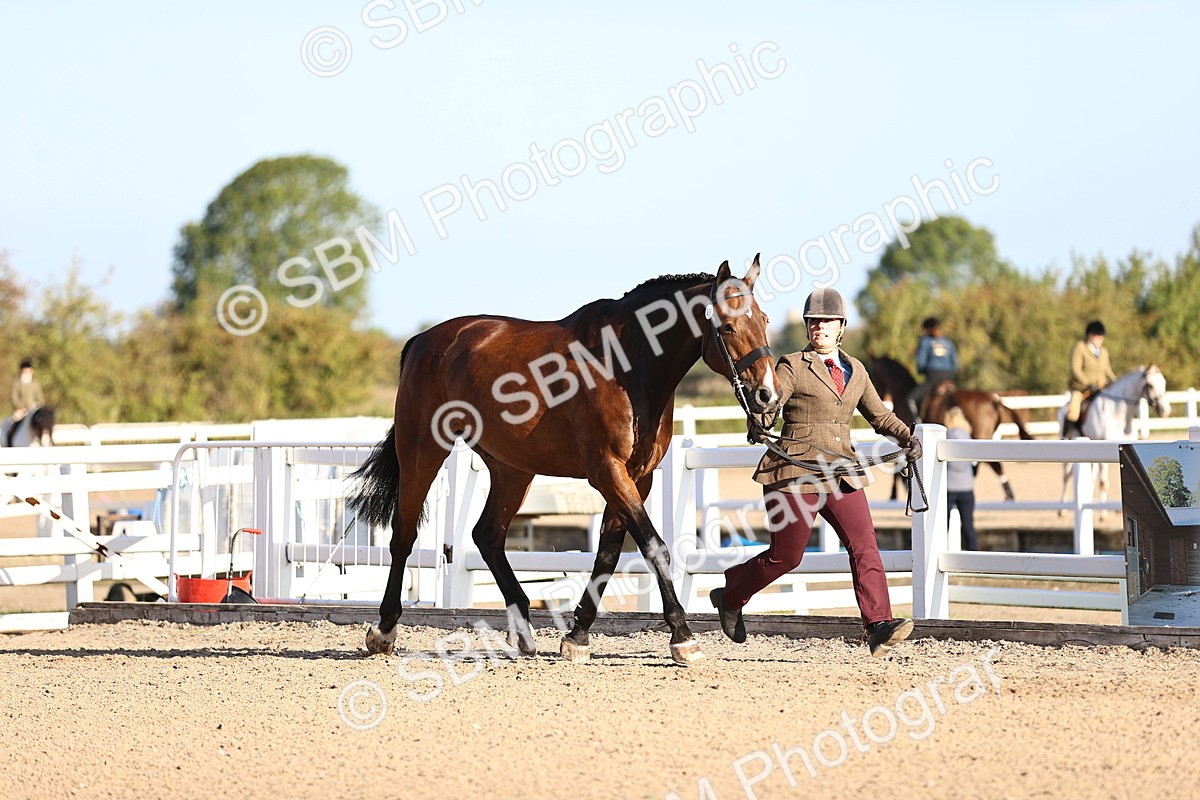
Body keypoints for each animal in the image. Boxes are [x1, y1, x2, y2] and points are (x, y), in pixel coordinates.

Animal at [348, 259, 779, 665]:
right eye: (726, 327)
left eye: (764, 321)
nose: (767, 397)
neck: (626, 367)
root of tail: (425, 341)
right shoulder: (608, 471)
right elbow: (654, 547)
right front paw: (683, 637)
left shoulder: (637, 478)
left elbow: (608, 553)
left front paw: (577, 636)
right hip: (422, 451)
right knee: (405, 534)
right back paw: (384, 630)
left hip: (512, 469)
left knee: (487, 536)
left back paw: (523, 632)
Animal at [1058, 366, 1170, 519]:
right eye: (1150, 385)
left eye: (1164, 383)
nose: (1166, 411)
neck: (1118, 414)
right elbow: (1104, 483)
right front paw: (1103, 515)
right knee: (1066, 476)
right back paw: (1062, 510)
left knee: (1090, 477)